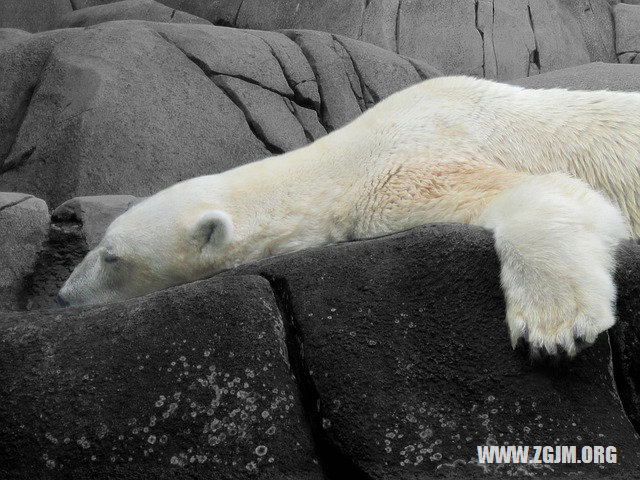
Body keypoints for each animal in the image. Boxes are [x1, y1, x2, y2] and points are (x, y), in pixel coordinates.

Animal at [57, 77, 636, 356]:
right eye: (100, 246)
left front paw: (554, 329)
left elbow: (545, 190)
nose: (62, 296)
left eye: (111, 257)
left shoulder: (408, 169)